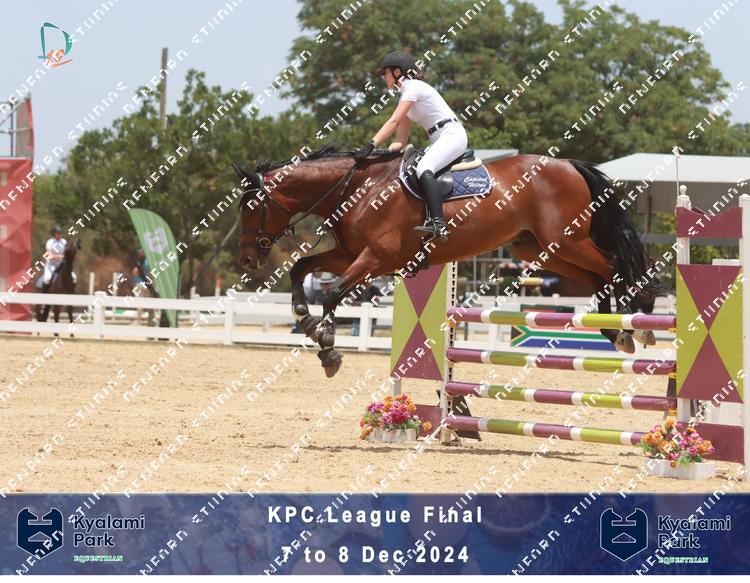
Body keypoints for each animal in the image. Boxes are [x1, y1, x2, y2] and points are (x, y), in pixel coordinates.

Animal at [233, 145, 659, 377]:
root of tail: (569, 165)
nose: (247, 259)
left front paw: (328, 349)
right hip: (541, 248)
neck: (356, 188)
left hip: (566, 240)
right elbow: (300, 269)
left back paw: (635, 321)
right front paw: (305, 322)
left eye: (253, 208)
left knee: (612, 265)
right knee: (599, 274)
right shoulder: (349, 255)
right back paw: (617, 331)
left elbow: (333, 293)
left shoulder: (375, 258)